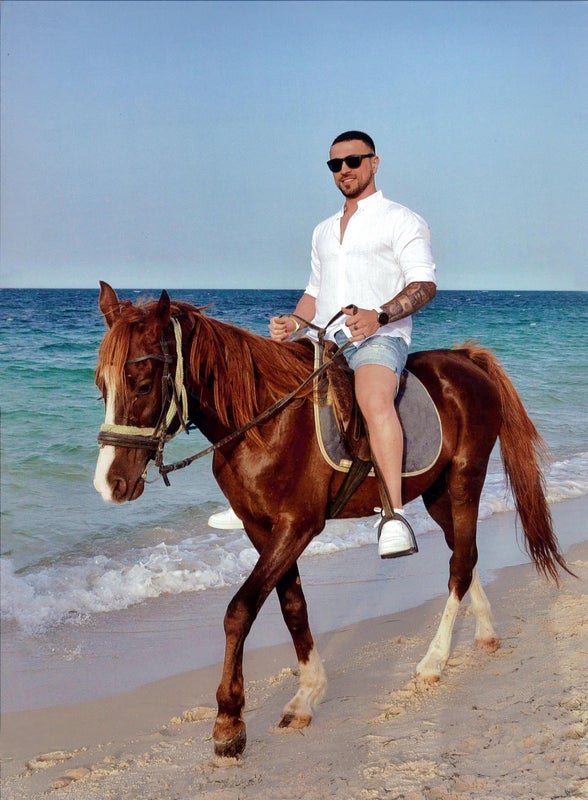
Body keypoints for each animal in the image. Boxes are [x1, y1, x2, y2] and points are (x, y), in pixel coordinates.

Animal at [93, 281, 569, 758]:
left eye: (142, 383)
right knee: (466, 553)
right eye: (101, 386)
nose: (109, 483)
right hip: (437, 493)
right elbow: (292, 607)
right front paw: (306, 696)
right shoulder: (261, 529)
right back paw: (485, 633)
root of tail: (465, 359)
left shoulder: (298, 525)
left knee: (459, 563)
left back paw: (434, 660)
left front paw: (229, 722)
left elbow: (240, 610)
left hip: (465, 478)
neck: (264, 423)